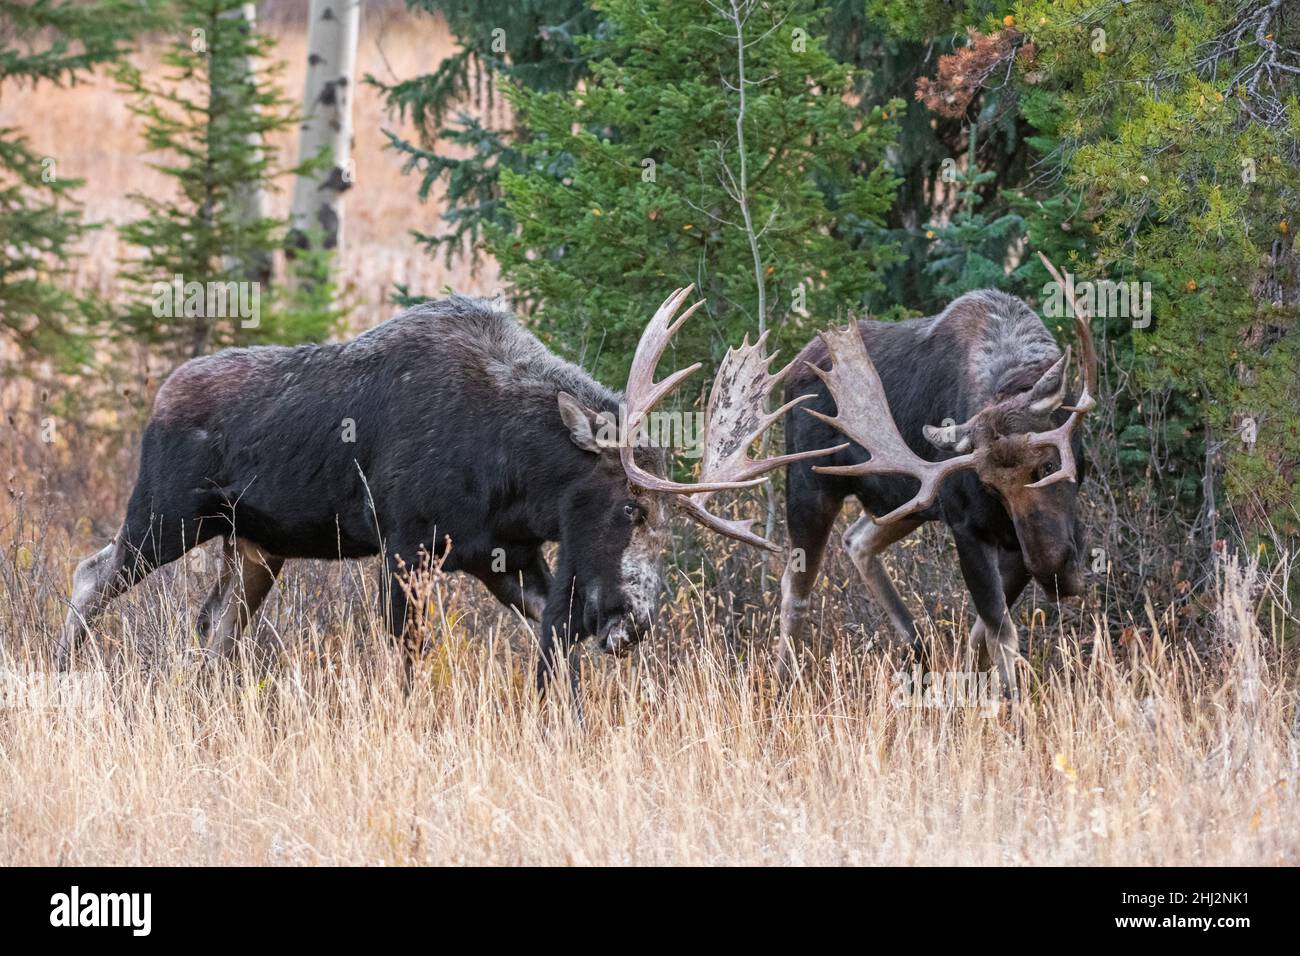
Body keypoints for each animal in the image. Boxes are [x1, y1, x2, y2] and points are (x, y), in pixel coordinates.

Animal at [59, 286, 834, 692]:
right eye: (629, 506)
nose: (635, 619)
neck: (515, 476)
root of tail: (159, 396)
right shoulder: (406, 546)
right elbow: (408, 660)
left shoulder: (507, 557)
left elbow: (552, 650)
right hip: (165, 516)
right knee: (90, 572)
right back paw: (62, 671)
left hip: (255, 548)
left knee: (215, 625)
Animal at [778, 255, 1097, 700]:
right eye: (990, 487)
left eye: (1049, 465)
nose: (1055, 573)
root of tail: (792, 369)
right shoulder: (967, 527)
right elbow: (1000, 633)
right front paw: (1012, 707)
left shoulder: (1012, 542)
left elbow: (982, 632)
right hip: (811, 486)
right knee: (796, 588)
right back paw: (781, 686)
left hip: (905, 503)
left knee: (857, 540)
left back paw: (919, 649)